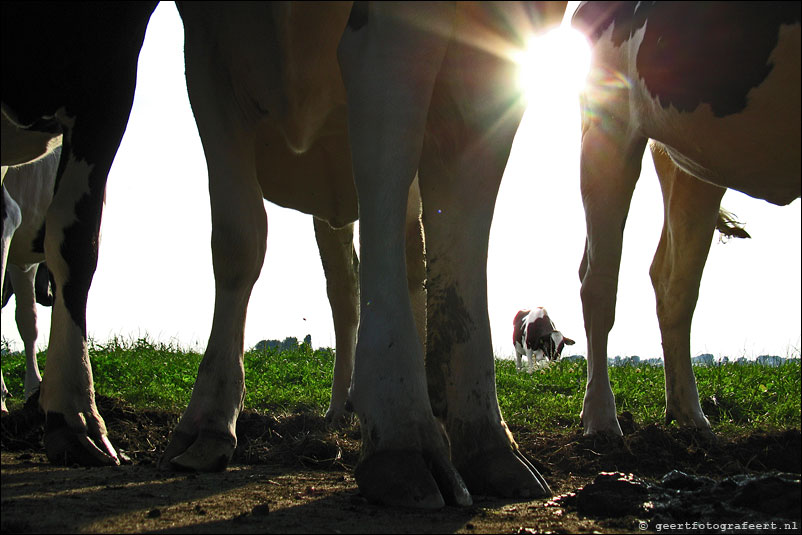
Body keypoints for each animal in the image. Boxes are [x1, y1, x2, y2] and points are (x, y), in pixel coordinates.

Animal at [158, 2, 564, 508]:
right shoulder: (205, 45)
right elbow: (238, 240)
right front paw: (209, 419)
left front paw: (454, 434)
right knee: (344, 287)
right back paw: (342, 407)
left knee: (410, 262)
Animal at [572, 2, 796, 438]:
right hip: (611, 125)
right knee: (599, 281)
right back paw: (602, 416)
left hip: (695, 155)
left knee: (673, 282)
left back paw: (688, 414)